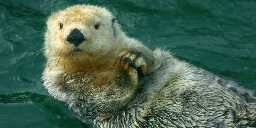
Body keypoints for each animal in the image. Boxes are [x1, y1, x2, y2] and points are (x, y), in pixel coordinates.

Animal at [42, 4, 256, 127]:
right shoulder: (63, 84)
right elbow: (103, 98)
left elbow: (153, 60)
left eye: (96, 25)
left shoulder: (146, 53)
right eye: (61, 25)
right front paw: (126, 71)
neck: (98, 66)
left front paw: (135, 58)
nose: (75, 35)